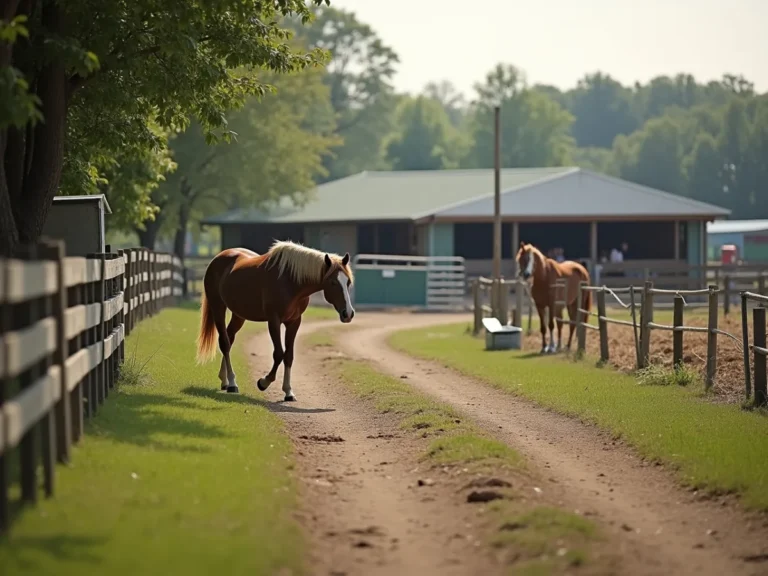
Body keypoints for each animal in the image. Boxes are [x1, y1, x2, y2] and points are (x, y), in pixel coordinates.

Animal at [196, 240, 355, 401]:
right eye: (333, 282)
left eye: (348, 282)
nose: (348, 313)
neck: (291, 281)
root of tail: (218, 258)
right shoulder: (274, 320)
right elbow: (278, 353)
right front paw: (263, 382)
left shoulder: (294, 322)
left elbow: (289, 355)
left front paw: (288, 391)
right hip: (218, 307)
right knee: (225, 343)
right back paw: (232, 383)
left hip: (238, 315)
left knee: (230, 337)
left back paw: (225, 381)